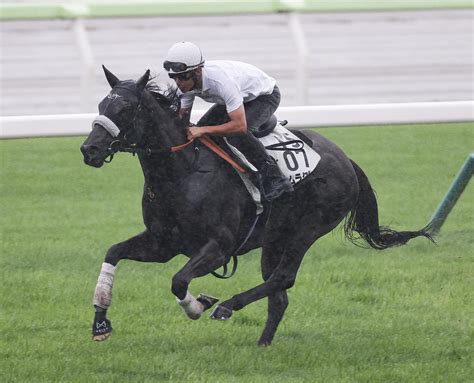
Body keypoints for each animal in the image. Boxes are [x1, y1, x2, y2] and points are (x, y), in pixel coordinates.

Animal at [81, 67, 434, 346]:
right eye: (101, 104)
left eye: (126, 107)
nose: (90, 149)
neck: (184, 171)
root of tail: (345, 158)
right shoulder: (163, 242)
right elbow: (113, 253)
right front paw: (100, 323)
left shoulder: (219, 247)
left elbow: (178, 281)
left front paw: (200, 305)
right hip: (275, 237)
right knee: (279, 295)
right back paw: (263, 344)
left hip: (308, 229)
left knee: (283, 278)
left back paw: (228, 306)